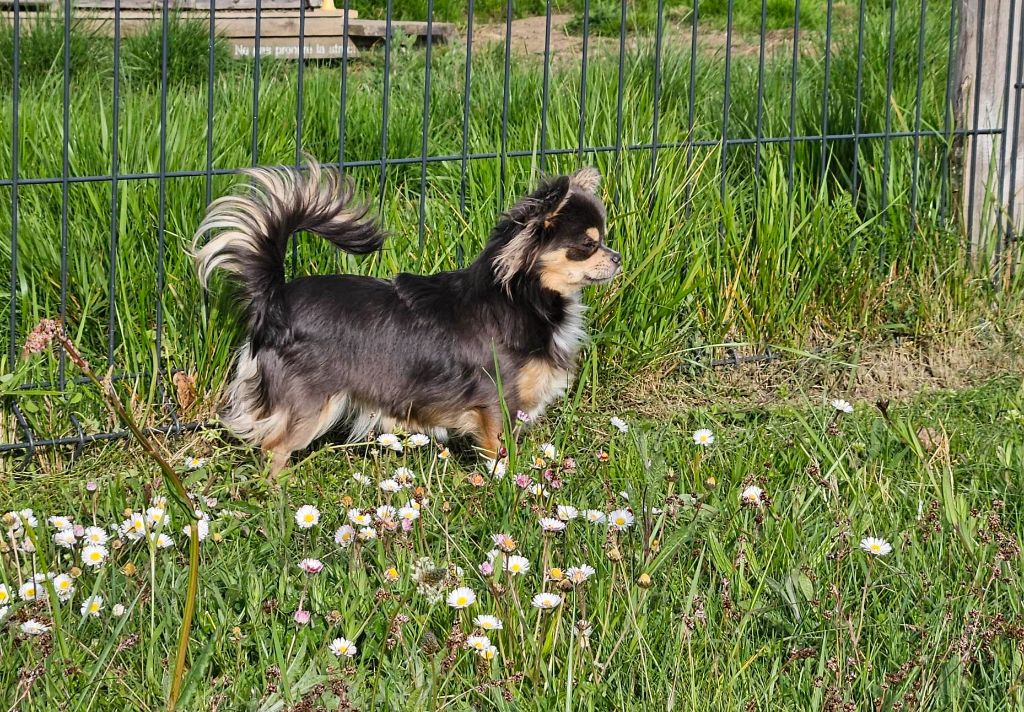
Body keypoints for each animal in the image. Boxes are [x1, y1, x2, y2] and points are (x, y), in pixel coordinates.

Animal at [194, 158, 618, 475]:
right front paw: (510, 487)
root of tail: (276, 299)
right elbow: (499, 454)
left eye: (604, 240)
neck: (523, 297)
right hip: (311, 404)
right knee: (274, 447)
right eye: (587, 245)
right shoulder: (498, 402)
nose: (617, 258)